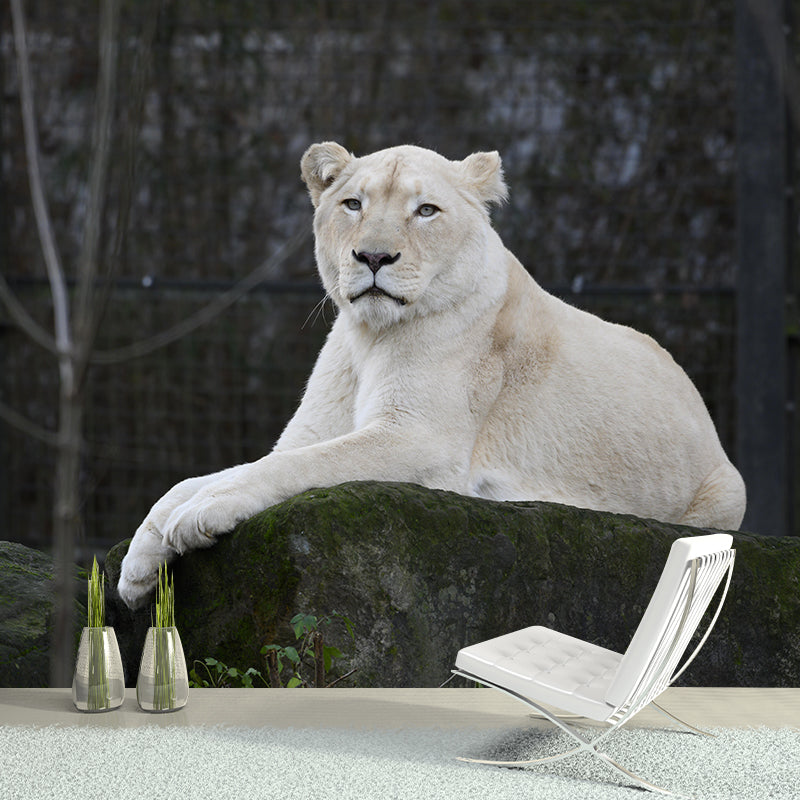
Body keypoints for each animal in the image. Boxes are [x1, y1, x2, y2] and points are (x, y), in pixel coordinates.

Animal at [118, 142, 746, 607]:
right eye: (353, 204)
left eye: (426, 211)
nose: (373, 257)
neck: (369, 338)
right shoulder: (311, 432)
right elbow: (205, 477)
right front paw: (138, 566)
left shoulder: (422, 440)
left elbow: (298, 468)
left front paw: (199, 516)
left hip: (727, 490)